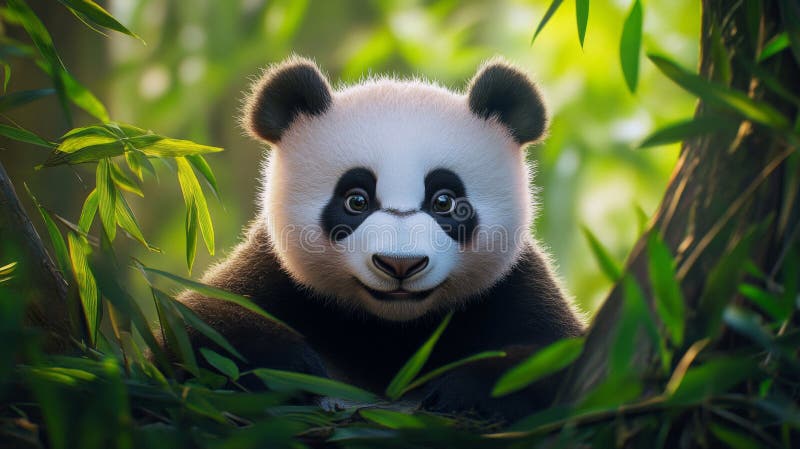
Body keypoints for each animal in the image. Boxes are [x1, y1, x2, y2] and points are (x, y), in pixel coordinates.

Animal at [176, 56, 585, 421]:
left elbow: (554, 356)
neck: (393, 327)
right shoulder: (277, 273)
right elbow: (202, 323)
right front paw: (292, 371)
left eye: (445, 202)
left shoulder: (511, 285)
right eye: (356, 200)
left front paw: (466, 393)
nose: (400, 264)